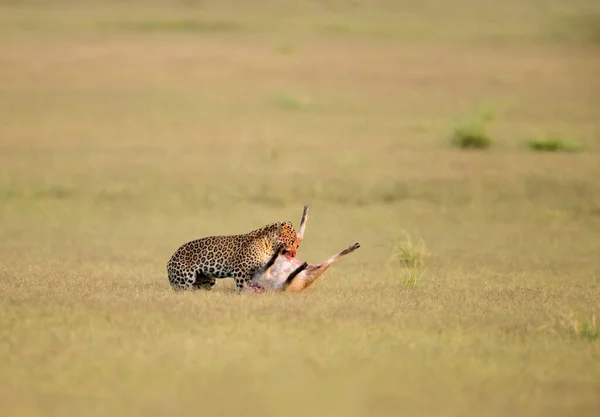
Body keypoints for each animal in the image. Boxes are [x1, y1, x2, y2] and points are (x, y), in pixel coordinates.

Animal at [166, 219, 300, 290]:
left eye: (297, 245)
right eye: (292, 241)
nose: (294, 254)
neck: (269, 246)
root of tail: (170, 260)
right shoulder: (241, 270)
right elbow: (243, 286)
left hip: (207, 280)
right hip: (185, 279)